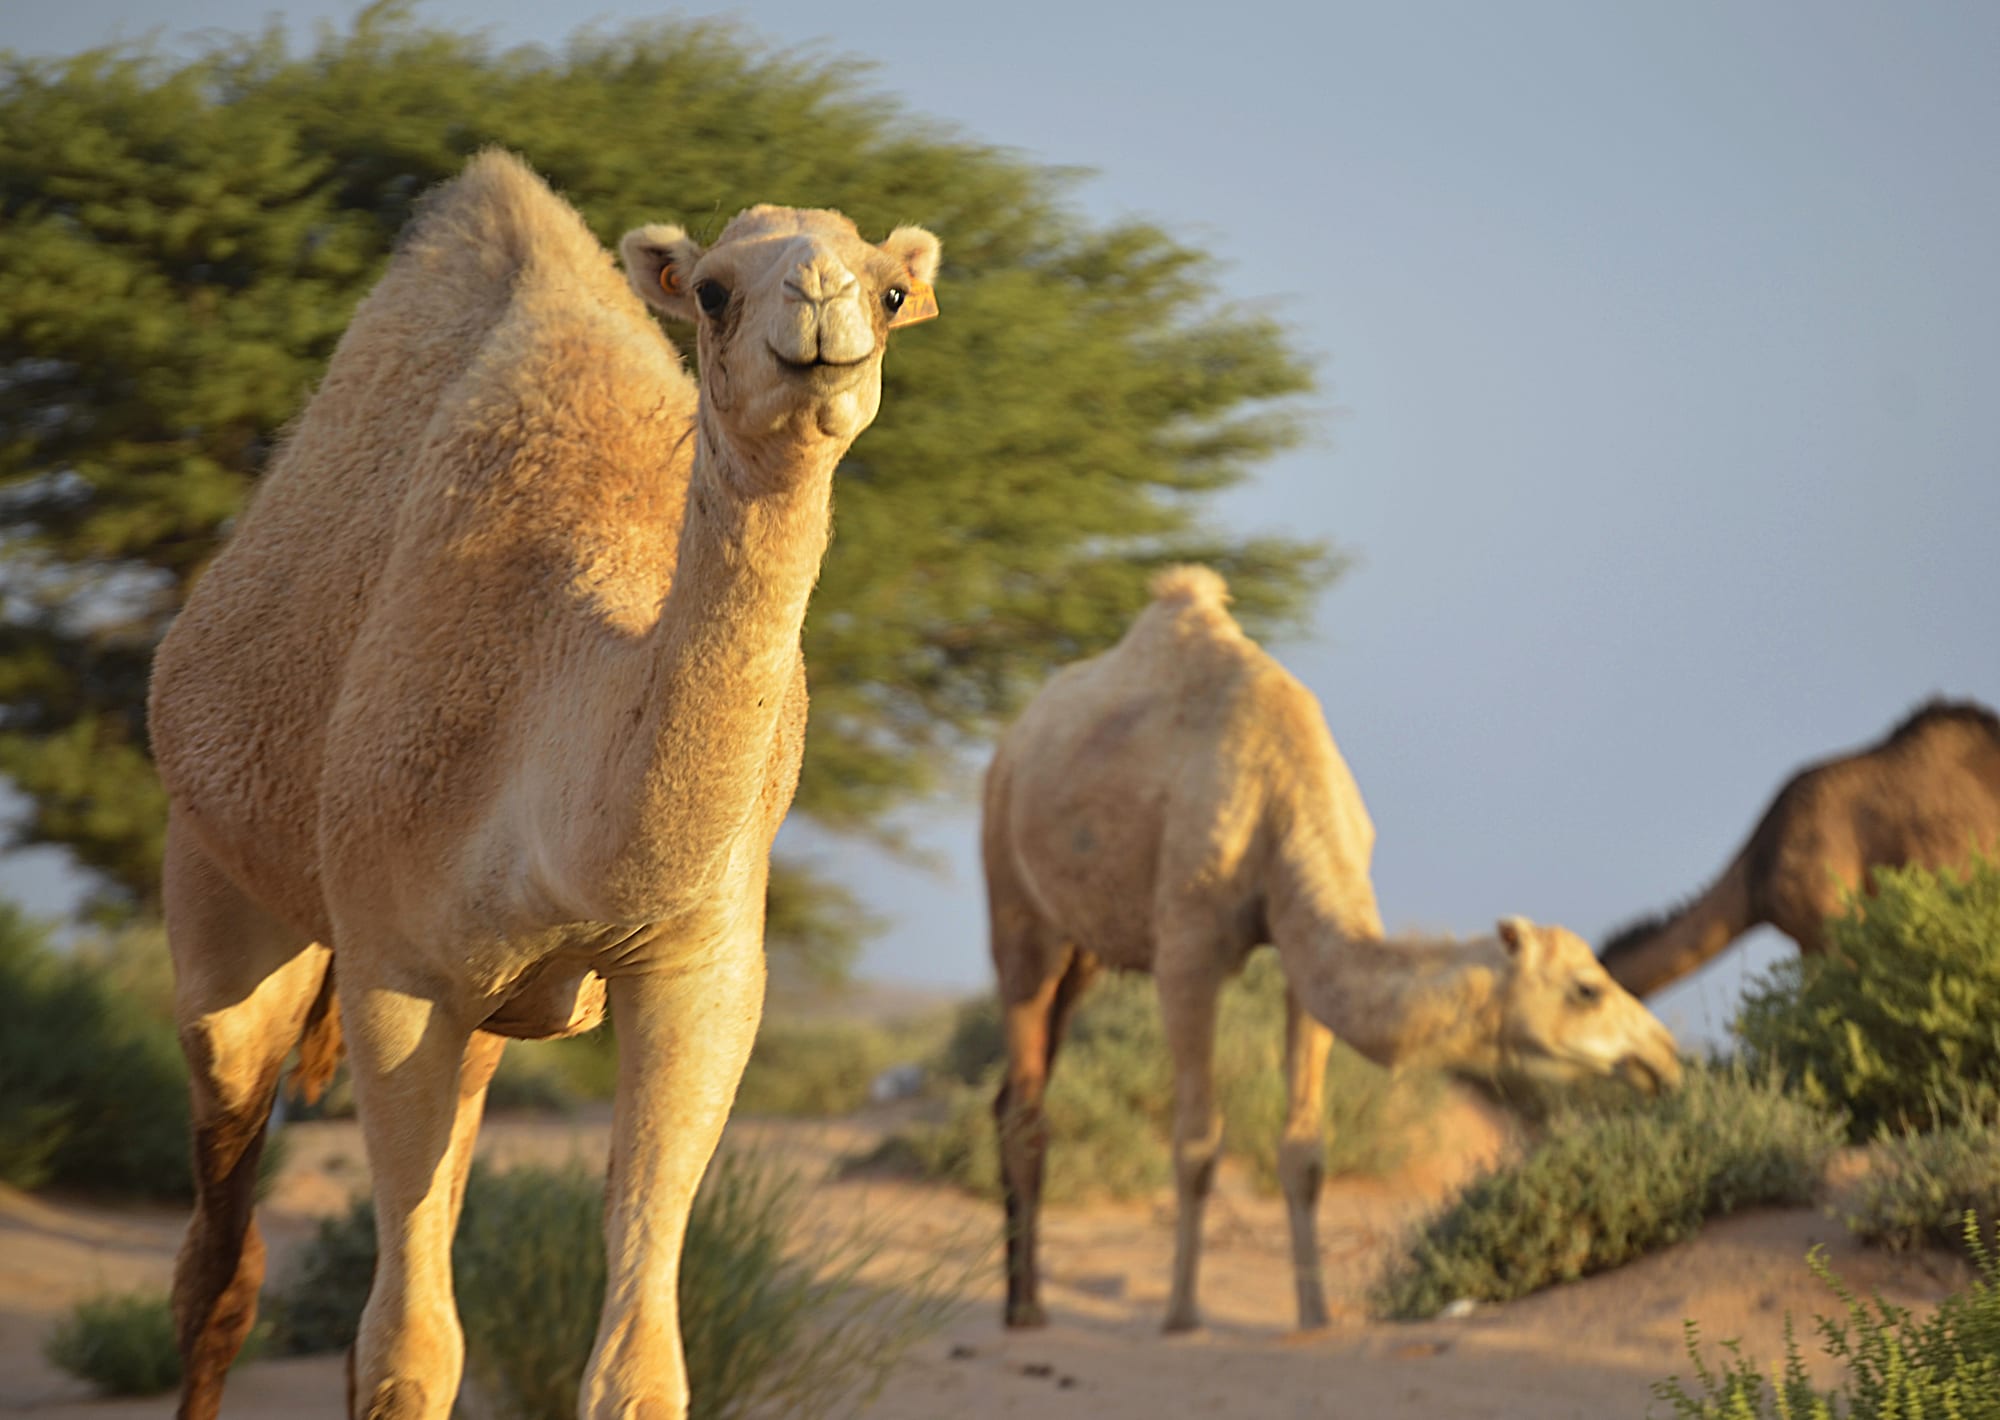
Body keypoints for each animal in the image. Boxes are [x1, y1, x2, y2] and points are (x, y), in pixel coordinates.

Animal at [145, 151, 939, 1420]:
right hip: (221, 881)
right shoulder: (394, 965)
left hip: (473, 1012)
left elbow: (635, 1366)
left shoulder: (702, 966)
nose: (821, 308)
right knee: (220, 1241)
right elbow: (408, 1354)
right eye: (713, 289)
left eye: (891, 289)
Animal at [982, 565, 1681, 1334]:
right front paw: (1181, 1317)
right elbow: (1197, 1141)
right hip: (1017, 904)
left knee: (1018, 1084)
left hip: (1085, 949)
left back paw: (1022, 1296)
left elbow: (1305, 1150)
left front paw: (1314, 1318)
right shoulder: (1188, 951)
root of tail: (1009, 745)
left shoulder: (1300, 954)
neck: (1283, 798)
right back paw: (1025, 1310)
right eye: (1588, 987)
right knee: (1026, 1093)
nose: (1664, 1057)